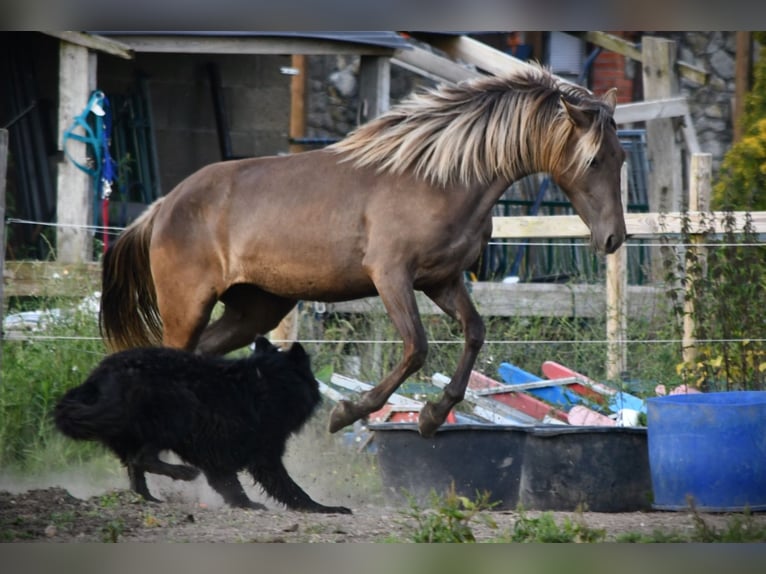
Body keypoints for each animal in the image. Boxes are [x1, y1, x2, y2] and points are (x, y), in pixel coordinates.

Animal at [100, 63, 626, 438]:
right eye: (593, 160)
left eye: (620, 158)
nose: (613, 238)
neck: (438, 176)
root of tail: (163, 206)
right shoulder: (391, 276)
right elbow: (416, 349)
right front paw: (347, 414)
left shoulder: (442, 280)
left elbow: (474, 333)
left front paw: (433, 415)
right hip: (187, 305)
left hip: (257, 308)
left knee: (202, 358)